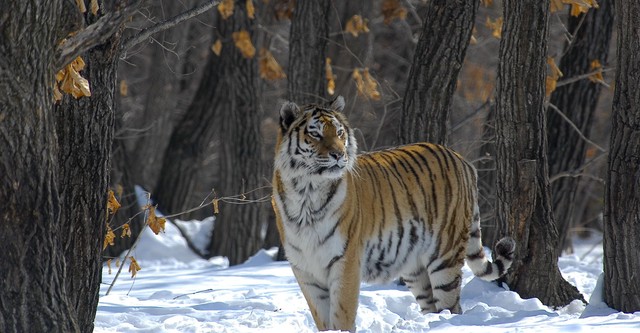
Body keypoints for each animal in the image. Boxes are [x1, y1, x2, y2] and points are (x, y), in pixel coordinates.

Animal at [270, 96, 516, 332]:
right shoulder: (306, 270)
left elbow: (341, 315)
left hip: (445, 255)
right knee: (431, 305)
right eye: (315, 134)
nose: (339, 154)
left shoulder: (345, 261)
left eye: (339, 133)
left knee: (452, 306)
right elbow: (322, 318)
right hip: (415, 268)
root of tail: (462, 160)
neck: (307, 193)